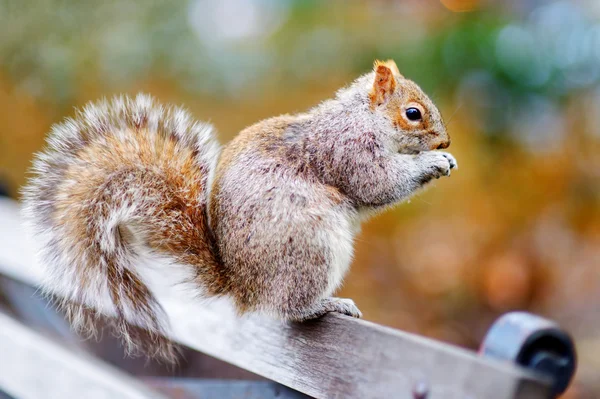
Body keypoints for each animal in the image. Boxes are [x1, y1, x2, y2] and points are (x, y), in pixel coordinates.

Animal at [22, 59, 454, 362]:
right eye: (413, 113)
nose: (445, 142)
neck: (364, 117)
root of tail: (244, 288)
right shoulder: (348, 149)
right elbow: (377, 183)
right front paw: (431, 163)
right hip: (311, 244)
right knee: (291, 309)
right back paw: (328, 304)